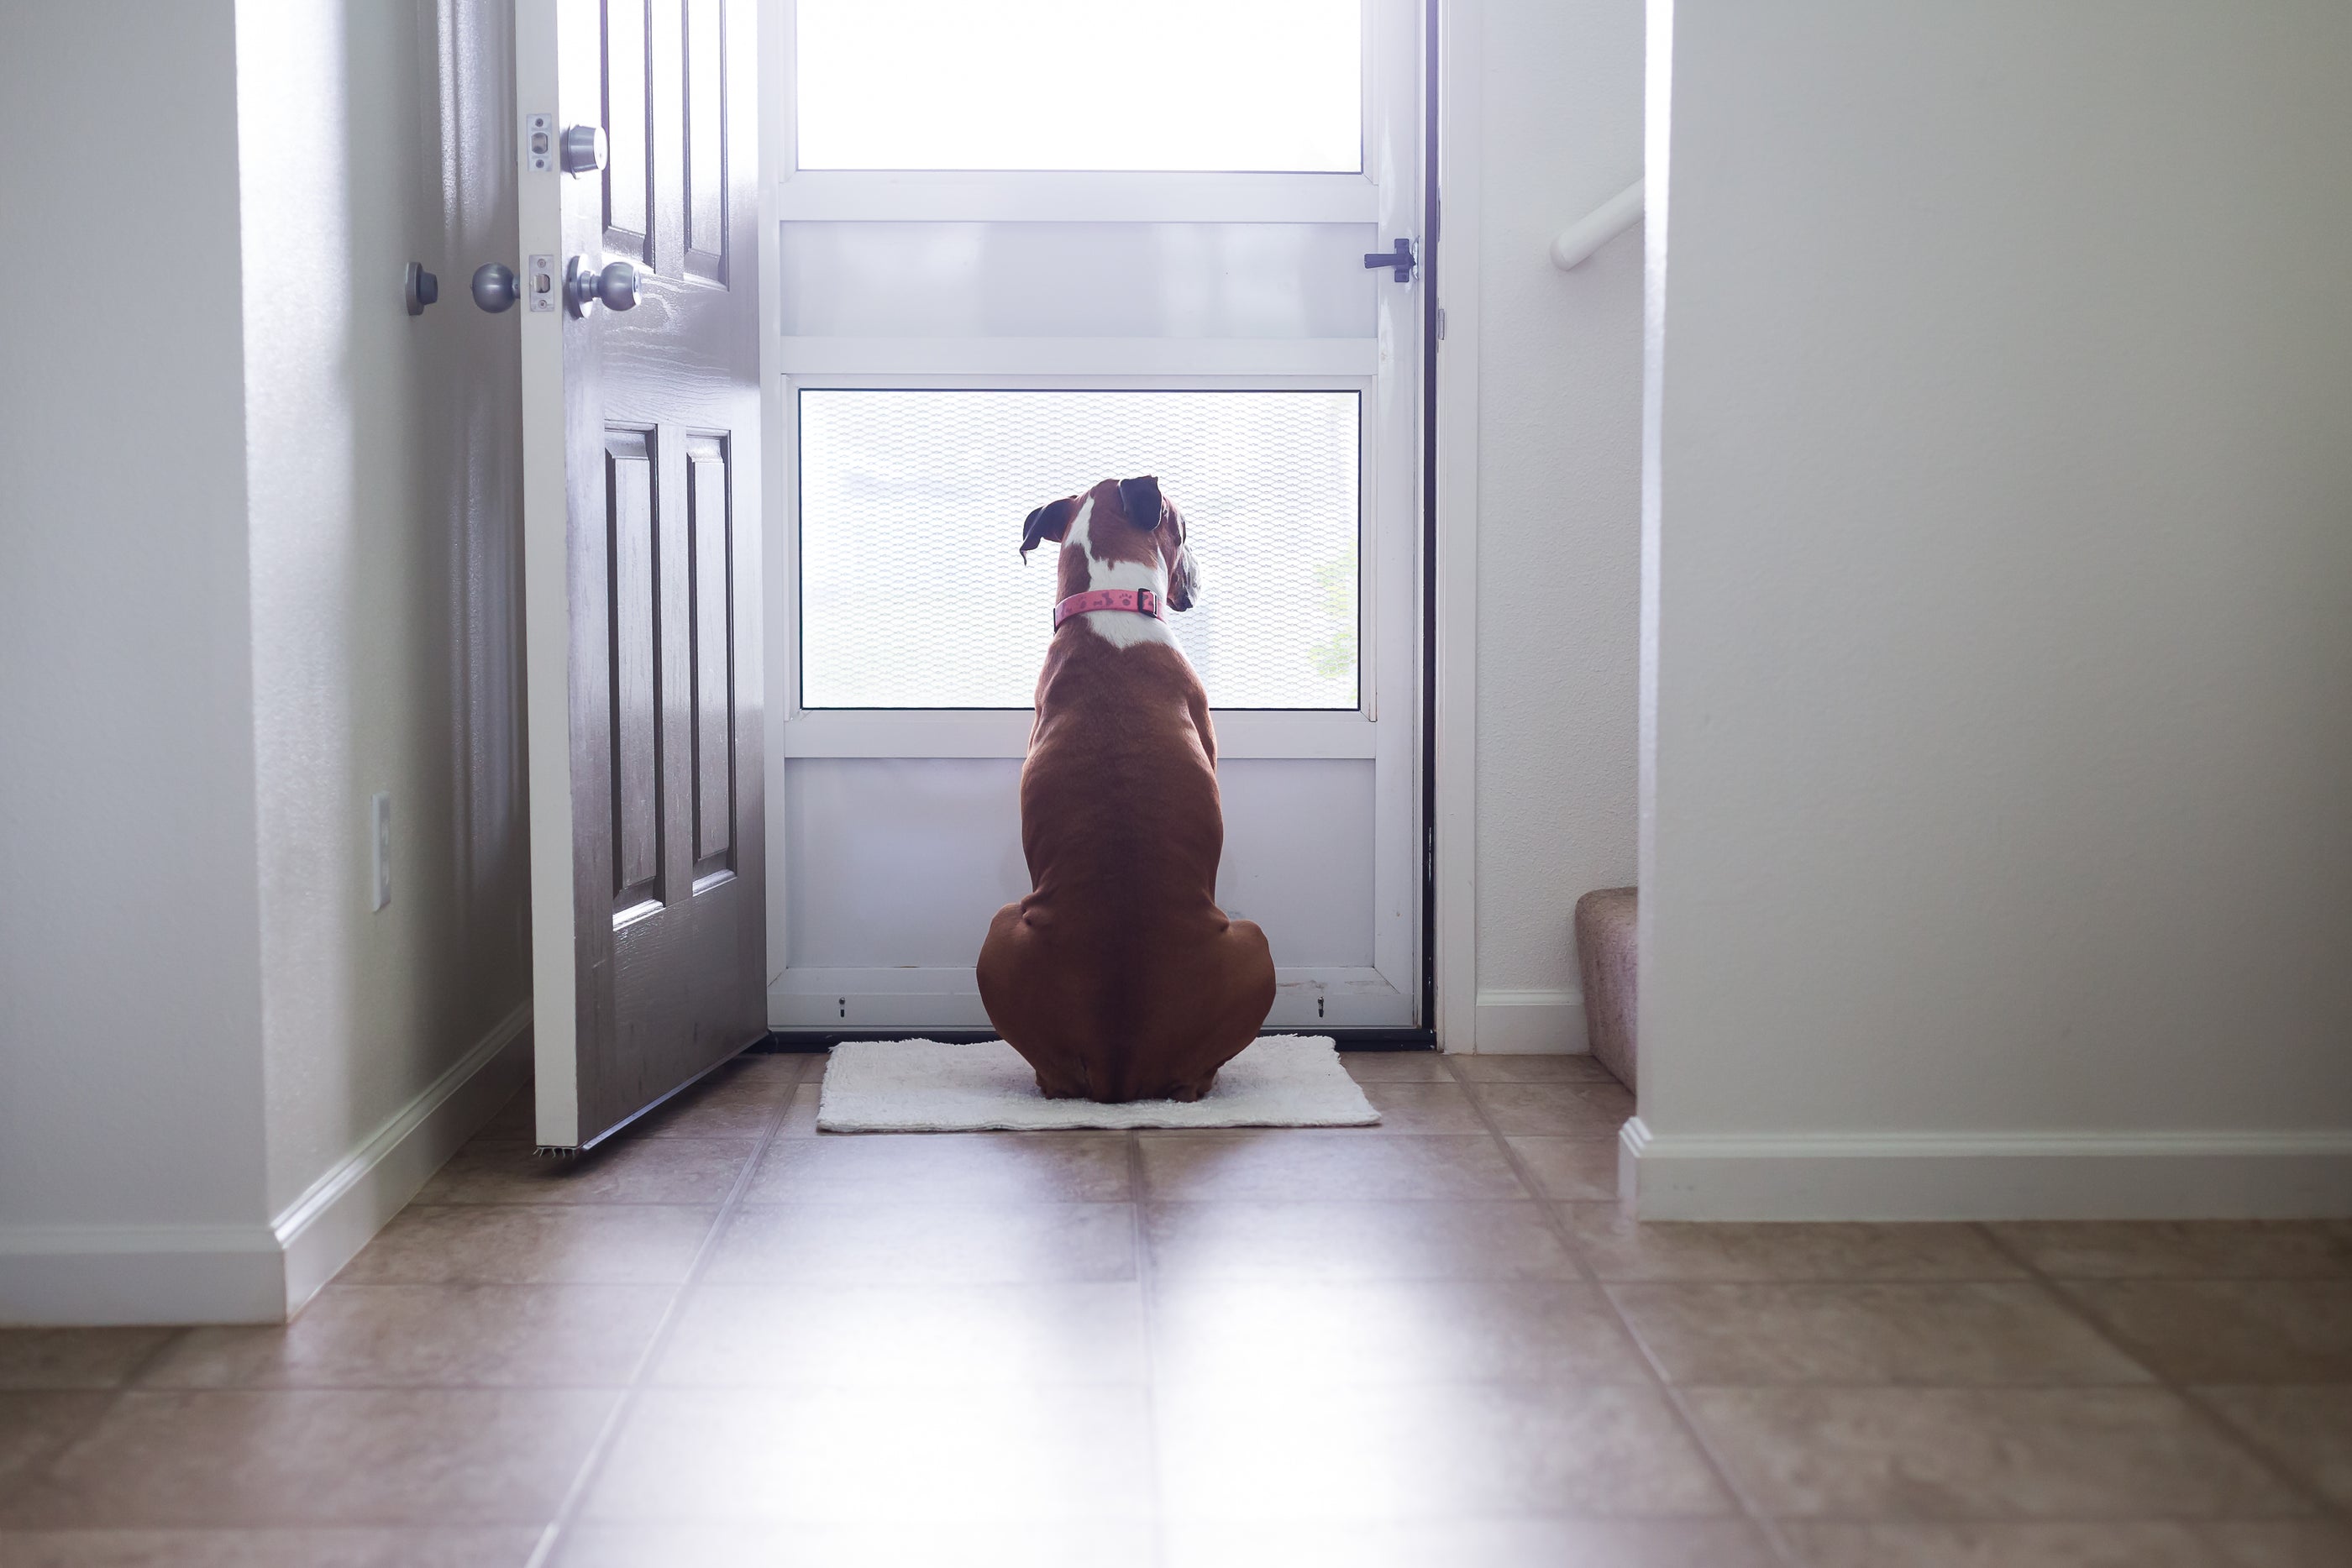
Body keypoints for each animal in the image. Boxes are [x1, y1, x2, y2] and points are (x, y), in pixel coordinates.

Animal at [969, 472, 1270, 1099]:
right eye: (1185, 530)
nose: (1199, 571)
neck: (1107, 601)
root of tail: (1120, 1063)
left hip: (999, 933)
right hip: (1253, 938)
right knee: (1194, 1079)